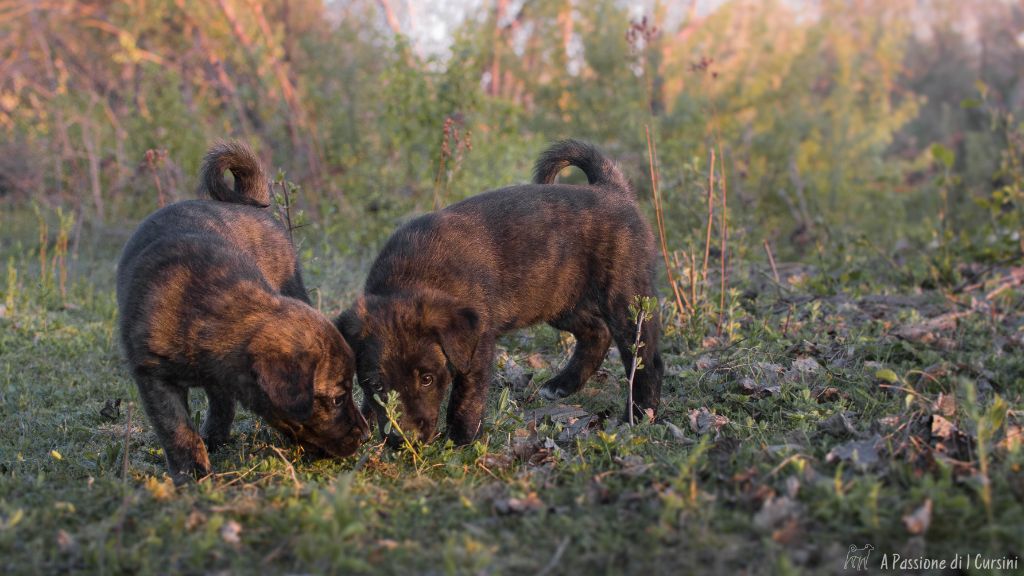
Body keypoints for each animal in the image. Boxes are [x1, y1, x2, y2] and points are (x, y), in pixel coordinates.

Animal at [117, 141, 366, 481]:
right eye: (338, 398)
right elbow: (177, 430)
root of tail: (248, 206)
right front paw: (192, 472)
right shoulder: (153, 378)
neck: (212, 314)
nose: (366, 435)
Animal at [339, 139, 663, 444]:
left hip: (625, 300)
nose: (406, 438)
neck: (412, 279)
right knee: (597, 332)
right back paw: (562, 384)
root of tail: (612, 190)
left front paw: (462, 441)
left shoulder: (476, 347)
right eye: (376, 384)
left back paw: (639, 414)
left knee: (646, 359)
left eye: (427, 379)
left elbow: (465, 400)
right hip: (557, 299)